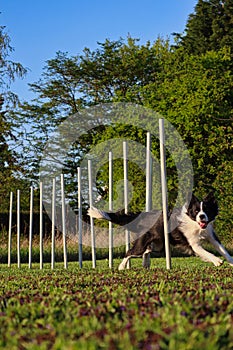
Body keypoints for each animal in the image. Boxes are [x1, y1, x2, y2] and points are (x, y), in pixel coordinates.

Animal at [88, 193, 233, 270]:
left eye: (207, 210)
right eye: (196, 211)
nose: (202, 216)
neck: (196, 224)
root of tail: (142, 216)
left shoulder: (212, 237)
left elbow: (223, 250)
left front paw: (230, 261)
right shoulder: (193, 244)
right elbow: (206, 252)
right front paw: (217, 261)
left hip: (159, 245)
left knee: (147, 250)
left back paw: (145, 263)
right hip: (142, 244)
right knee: (130, 252)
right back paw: (122, 267)